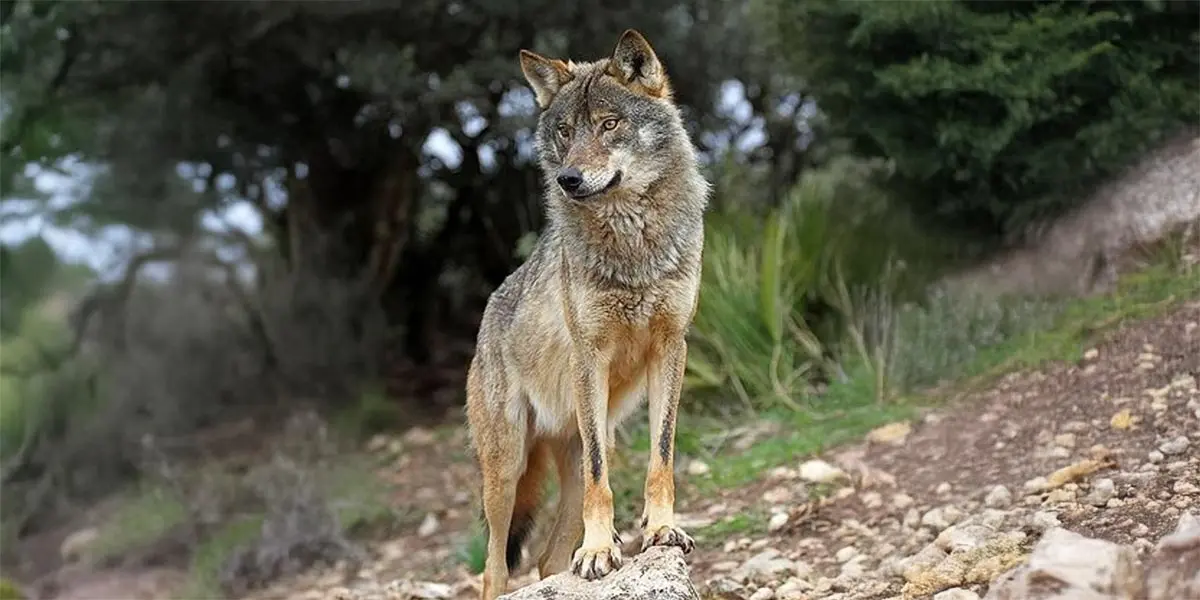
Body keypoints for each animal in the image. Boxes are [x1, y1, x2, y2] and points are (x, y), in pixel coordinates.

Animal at [464, 28, 710, 600]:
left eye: (609, 124)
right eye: (565, 131)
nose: (569, 179)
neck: (633, 244)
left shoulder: (672, 347)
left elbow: (662, 456)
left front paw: (660, 530)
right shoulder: (589, 357)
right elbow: (605, 485)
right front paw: (600, 550)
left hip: (579, 449)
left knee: (547, 561)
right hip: (506, 470)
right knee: (495, 570)